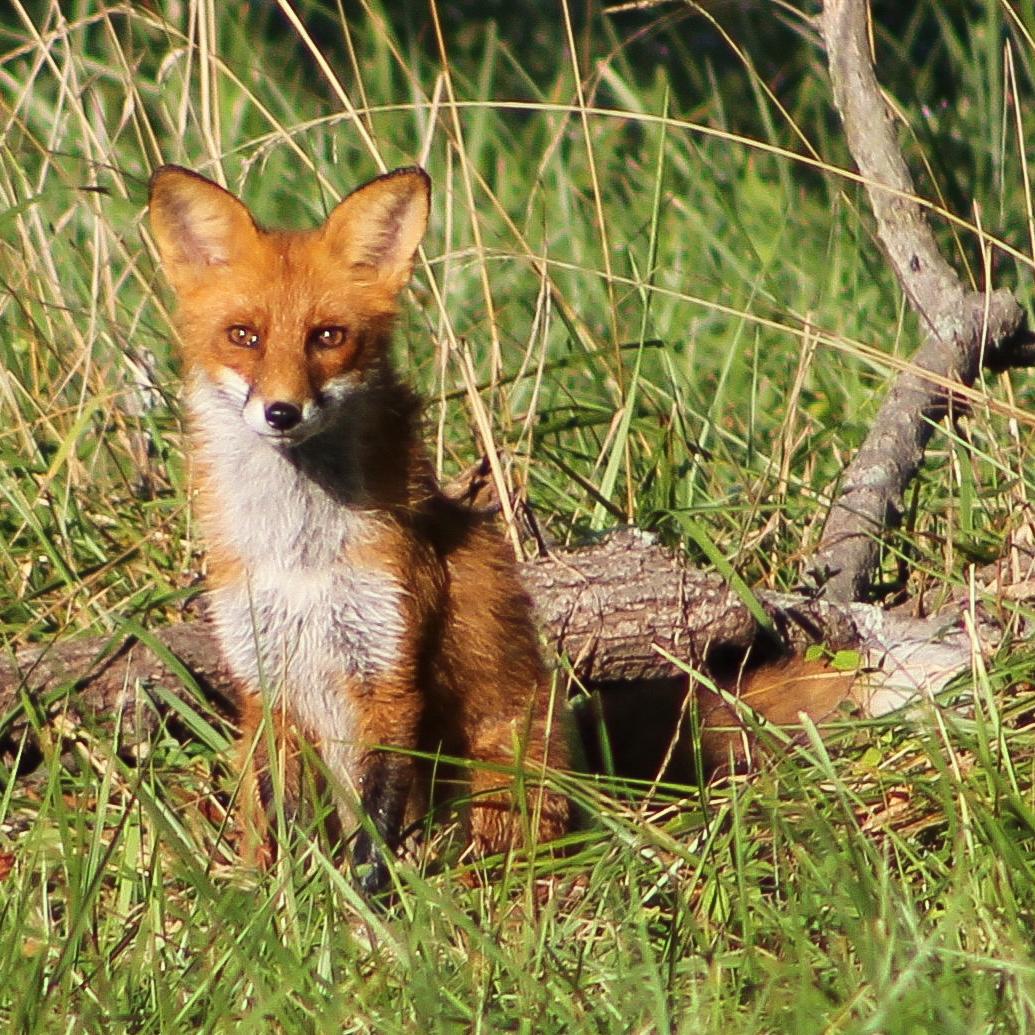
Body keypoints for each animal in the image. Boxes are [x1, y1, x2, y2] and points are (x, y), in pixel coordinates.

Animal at [147, 164, 570, 893]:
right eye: (244, 335)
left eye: (327, 336)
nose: (281, 412)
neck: (299, 556)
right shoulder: (268, 681)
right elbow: (286, 820)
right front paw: (284, 901)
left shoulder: (388, 672)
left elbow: (375, 829)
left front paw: (364, 908)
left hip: (506, 770)